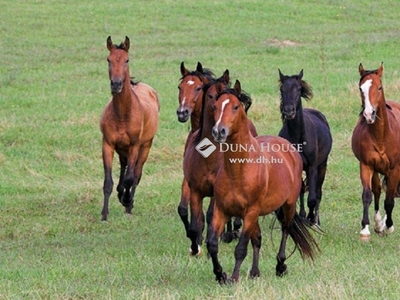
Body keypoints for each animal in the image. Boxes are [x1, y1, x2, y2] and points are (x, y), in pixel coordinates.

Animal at [99, 37, 160, 220]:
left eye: (127, 60)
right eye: (108, 60)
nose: (116, 84)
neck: (122, 114)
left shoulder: (134, 146)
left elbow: (130, 178)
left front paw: (127, 200)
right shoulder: (108, 145)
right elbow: (108, 182)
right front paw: (104, 214)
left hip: (145, 146)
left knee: (136, 174)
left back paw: (129, 204)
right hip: (122, 149)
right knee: (124, 168)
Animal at [206, 79, 318, 284]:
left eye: (235, 107)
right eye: (216, 106)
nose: (219, 131)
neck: (238, 171)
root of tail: (289, 148)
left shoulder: (250, 212)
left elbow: (241, 248)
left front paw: (233, 277)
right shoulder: (222, 210)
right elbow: (212, 244)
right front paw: (220, 274)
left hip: (287, 205)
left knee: (285, 229)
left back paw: (280, 266)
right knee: (257, 238)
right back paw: (254, 272)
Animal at [276, 69, 332, 225]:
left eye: (299, 89)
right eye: (282, 89)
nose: (289, 111)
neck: (298, 139)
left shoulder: (312, 167)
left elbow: (312, 198)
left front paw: (311, 218)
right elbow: (299, 190)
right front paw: (302, 216)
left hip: (322, 166)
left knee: (318, 192)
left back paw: (316, 220)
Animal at [352, 62, 400, 239]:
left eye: (380, 87)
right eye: (361, 88)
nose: (368, 114)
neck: (381, 136)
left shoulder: (395, 169)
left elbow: (390, 201)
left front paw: (389, 226)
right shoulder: (366, 165)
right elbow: (368, 195)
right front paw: (365, 228)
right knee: (378, 191)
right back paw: (379, 223)